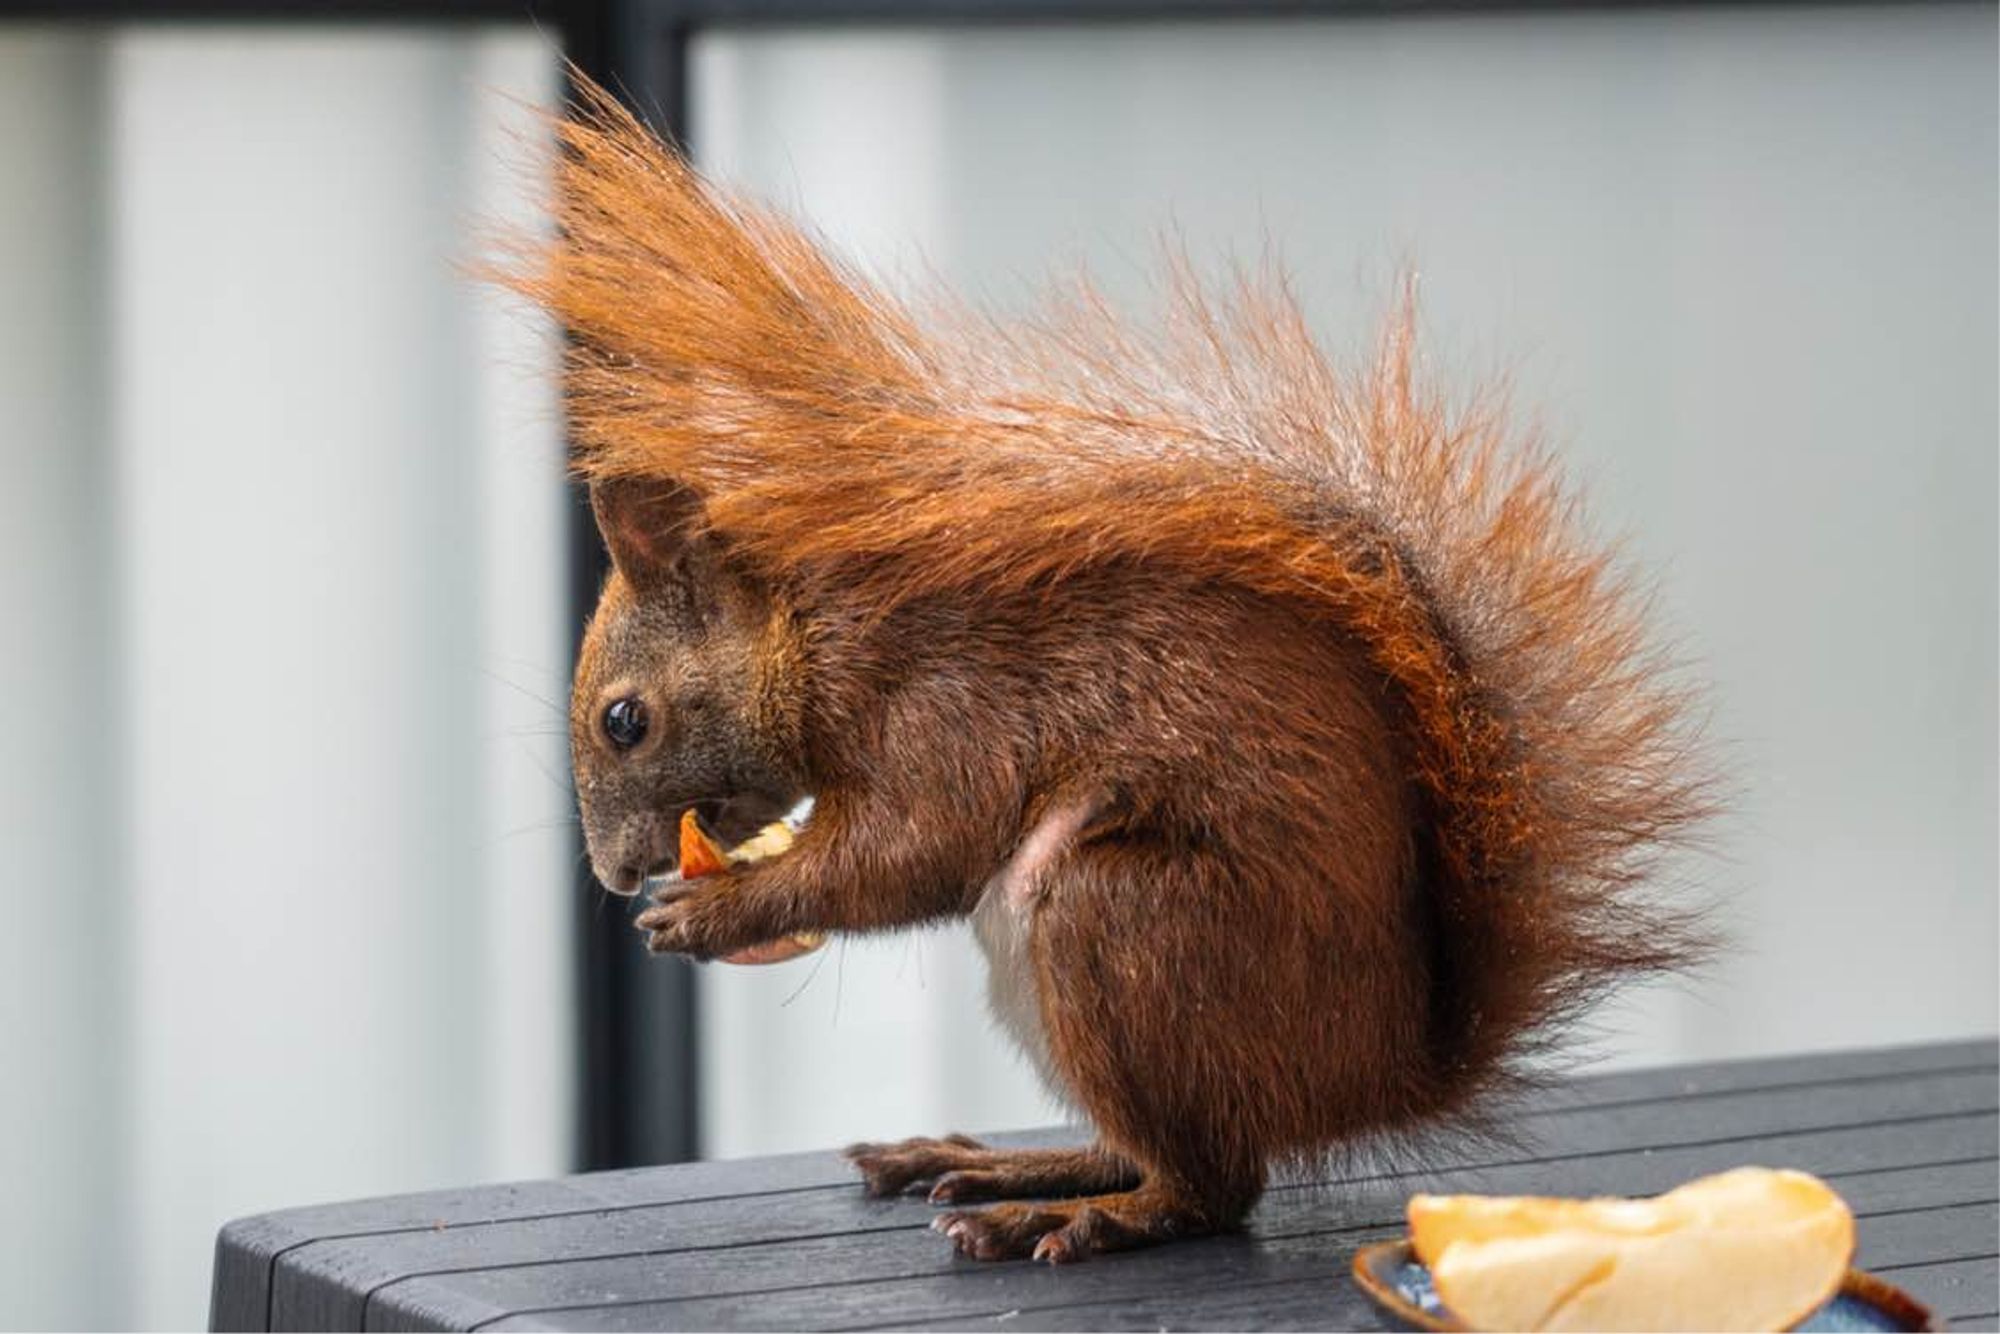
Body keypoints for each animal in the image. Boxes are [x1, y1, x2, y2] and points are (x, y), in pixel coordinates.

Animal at [492, 81, 1712, 1264]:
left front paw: (713, 913)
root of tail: (1384, 1075)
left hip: (1119, 923)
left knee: (1211, 1186)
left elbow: (914, 850)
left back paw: (1072, 1216)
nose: (617, 874)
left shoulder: (944, 703)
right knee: (1163, 1148)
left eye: (623, 720)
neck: (809, 628)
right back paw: (1011, 1165)